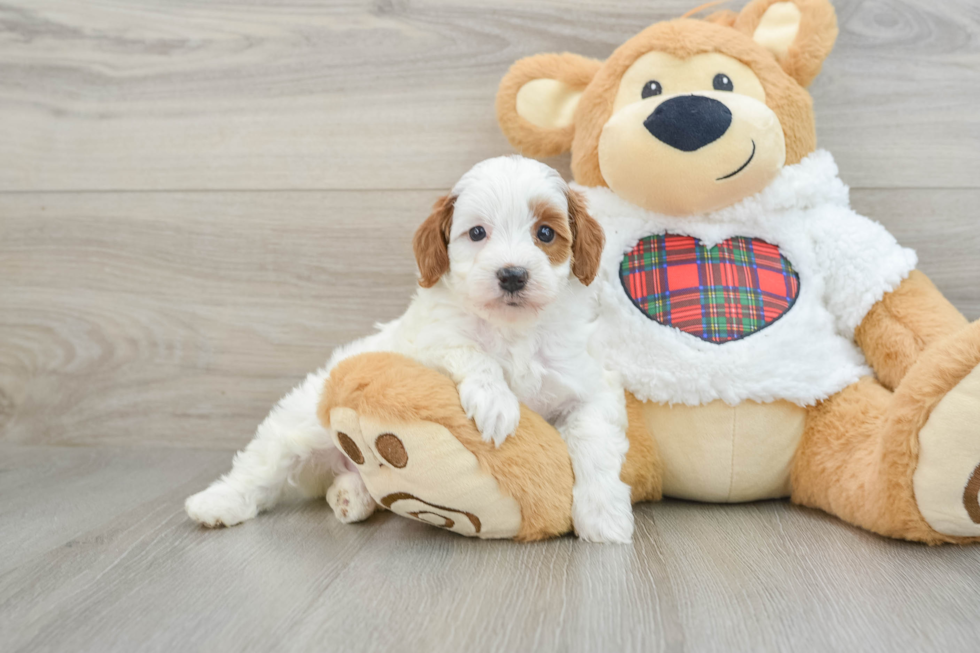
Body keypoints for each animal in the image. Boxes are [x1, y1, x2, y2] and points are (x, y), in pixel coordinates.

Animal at [184, 155, 636, 544]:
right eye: (477, 233)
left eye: (545, 233)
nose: (512, 275)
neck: (513, 331)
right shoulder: (422, 346)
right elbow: (467, 350)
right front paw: (495, 402)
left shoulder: (589, 384)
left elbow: (595, 443)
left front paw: (603, 516)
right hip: (303, 425)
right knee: (264, 463)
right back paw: (218, 502)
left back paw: (349, 495)